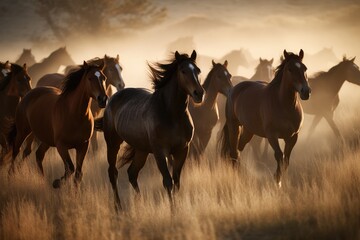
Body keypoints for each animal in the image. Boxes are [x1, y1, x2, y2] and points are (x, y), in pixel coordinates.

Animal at [6, 60, 107, 188]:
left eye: (104, 78)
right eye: (90, 78)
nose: (103, 99)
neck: (74, 114)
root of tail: (28, 94)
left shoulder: (83, 146)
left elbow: (78, 174)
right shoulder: (61, 146)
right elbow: (70, 168)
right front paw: (57, 183)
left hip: (45, 139)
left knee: (38, 155)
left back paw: (43, 180)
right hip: (23, 132)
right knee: (16, 151)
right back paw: (10, 176)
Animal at [94, 50, 204, 210]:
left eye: (198, 70)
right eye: (183, 71)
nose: (199, 93)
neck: (171, 114)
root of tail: (111, 99)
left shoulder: (182, 150)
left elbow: (177, 181)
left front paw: (178, 206)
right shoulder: (160, 152)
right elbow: (168, 182)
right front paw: (173, 210)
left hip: (142, 150)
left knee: (132, 173)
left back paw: (140, 202)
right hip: (113, 143)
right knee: (113, 173)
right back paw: (118, 206)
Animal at [221, 49, 310, 187]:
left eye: (305, 68)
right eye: (290, 69)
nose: (306, 91)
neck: (283, 104)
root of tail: (233, 89)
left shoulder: (293, 137)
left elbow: (286, 160)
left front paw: (281, 180)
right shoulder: (272, 135)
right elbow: (279, 156)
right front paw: (277, 181)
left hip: (249, 131)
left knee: (239, 148)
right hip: (234, 126)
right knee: (234, 152)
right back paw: (237, 176)